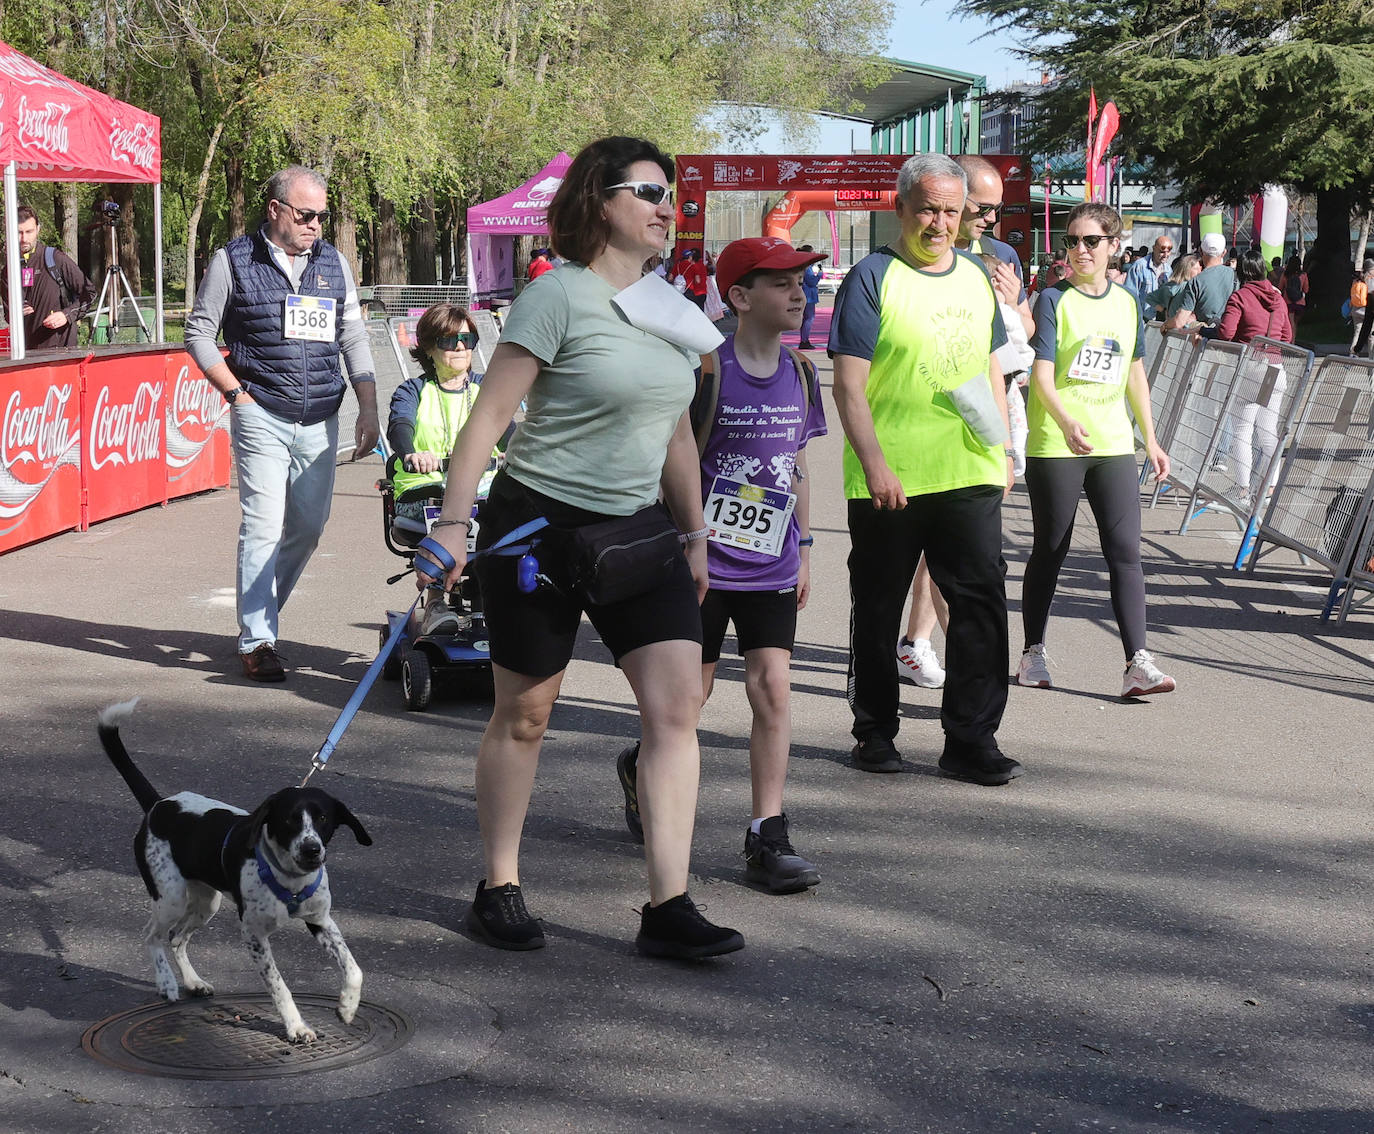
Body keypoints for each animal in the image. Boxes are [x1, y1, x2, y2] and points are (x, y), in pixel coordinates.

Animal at [95, 698, 376, 1044]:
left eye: (323, 819)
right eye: (289, 819)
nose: (311, 850)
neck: (290, 879)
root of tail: (159, 805)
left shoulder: (320, 920)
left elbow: (354, 970)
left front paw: (347, 1007)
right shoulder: (254, 935)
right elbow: (280, 986)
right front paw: (296, 1026)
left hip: (207, 902)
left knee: (176, 938)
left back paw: (193, 982)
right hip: (171, 897)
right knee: (153, 935)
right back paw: (167, 983)